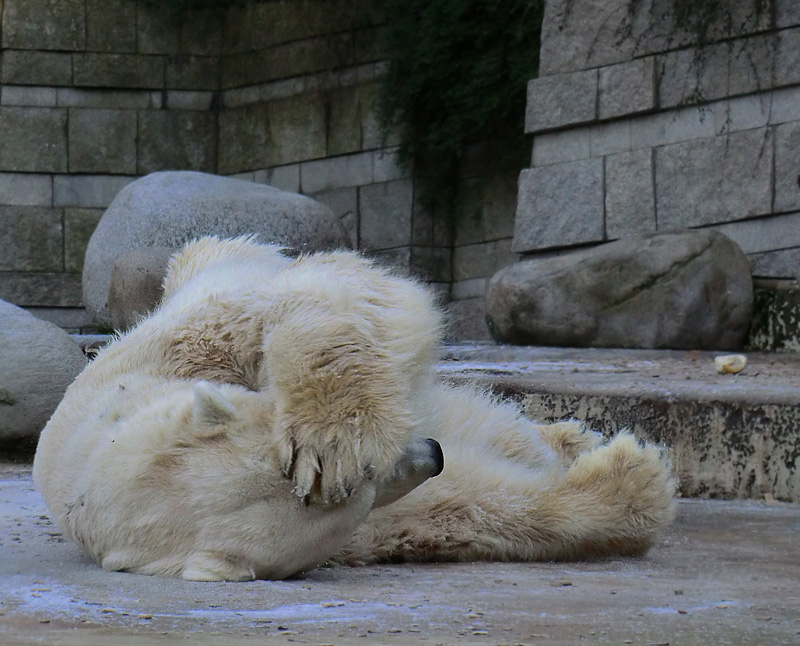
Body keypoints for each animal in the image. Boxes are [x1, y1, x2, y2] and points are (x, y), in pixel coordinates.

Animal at [34, 237, 680, 584]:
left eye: (355, 481)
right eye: (363, 496)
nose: (431, 452)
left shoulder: (185, 341)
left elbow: (319, 303)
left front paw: (331, 441)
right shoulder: (364, 527)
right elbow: (456, 507)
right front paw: (631, 481)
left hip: (209, 258)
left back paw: (569, 436)